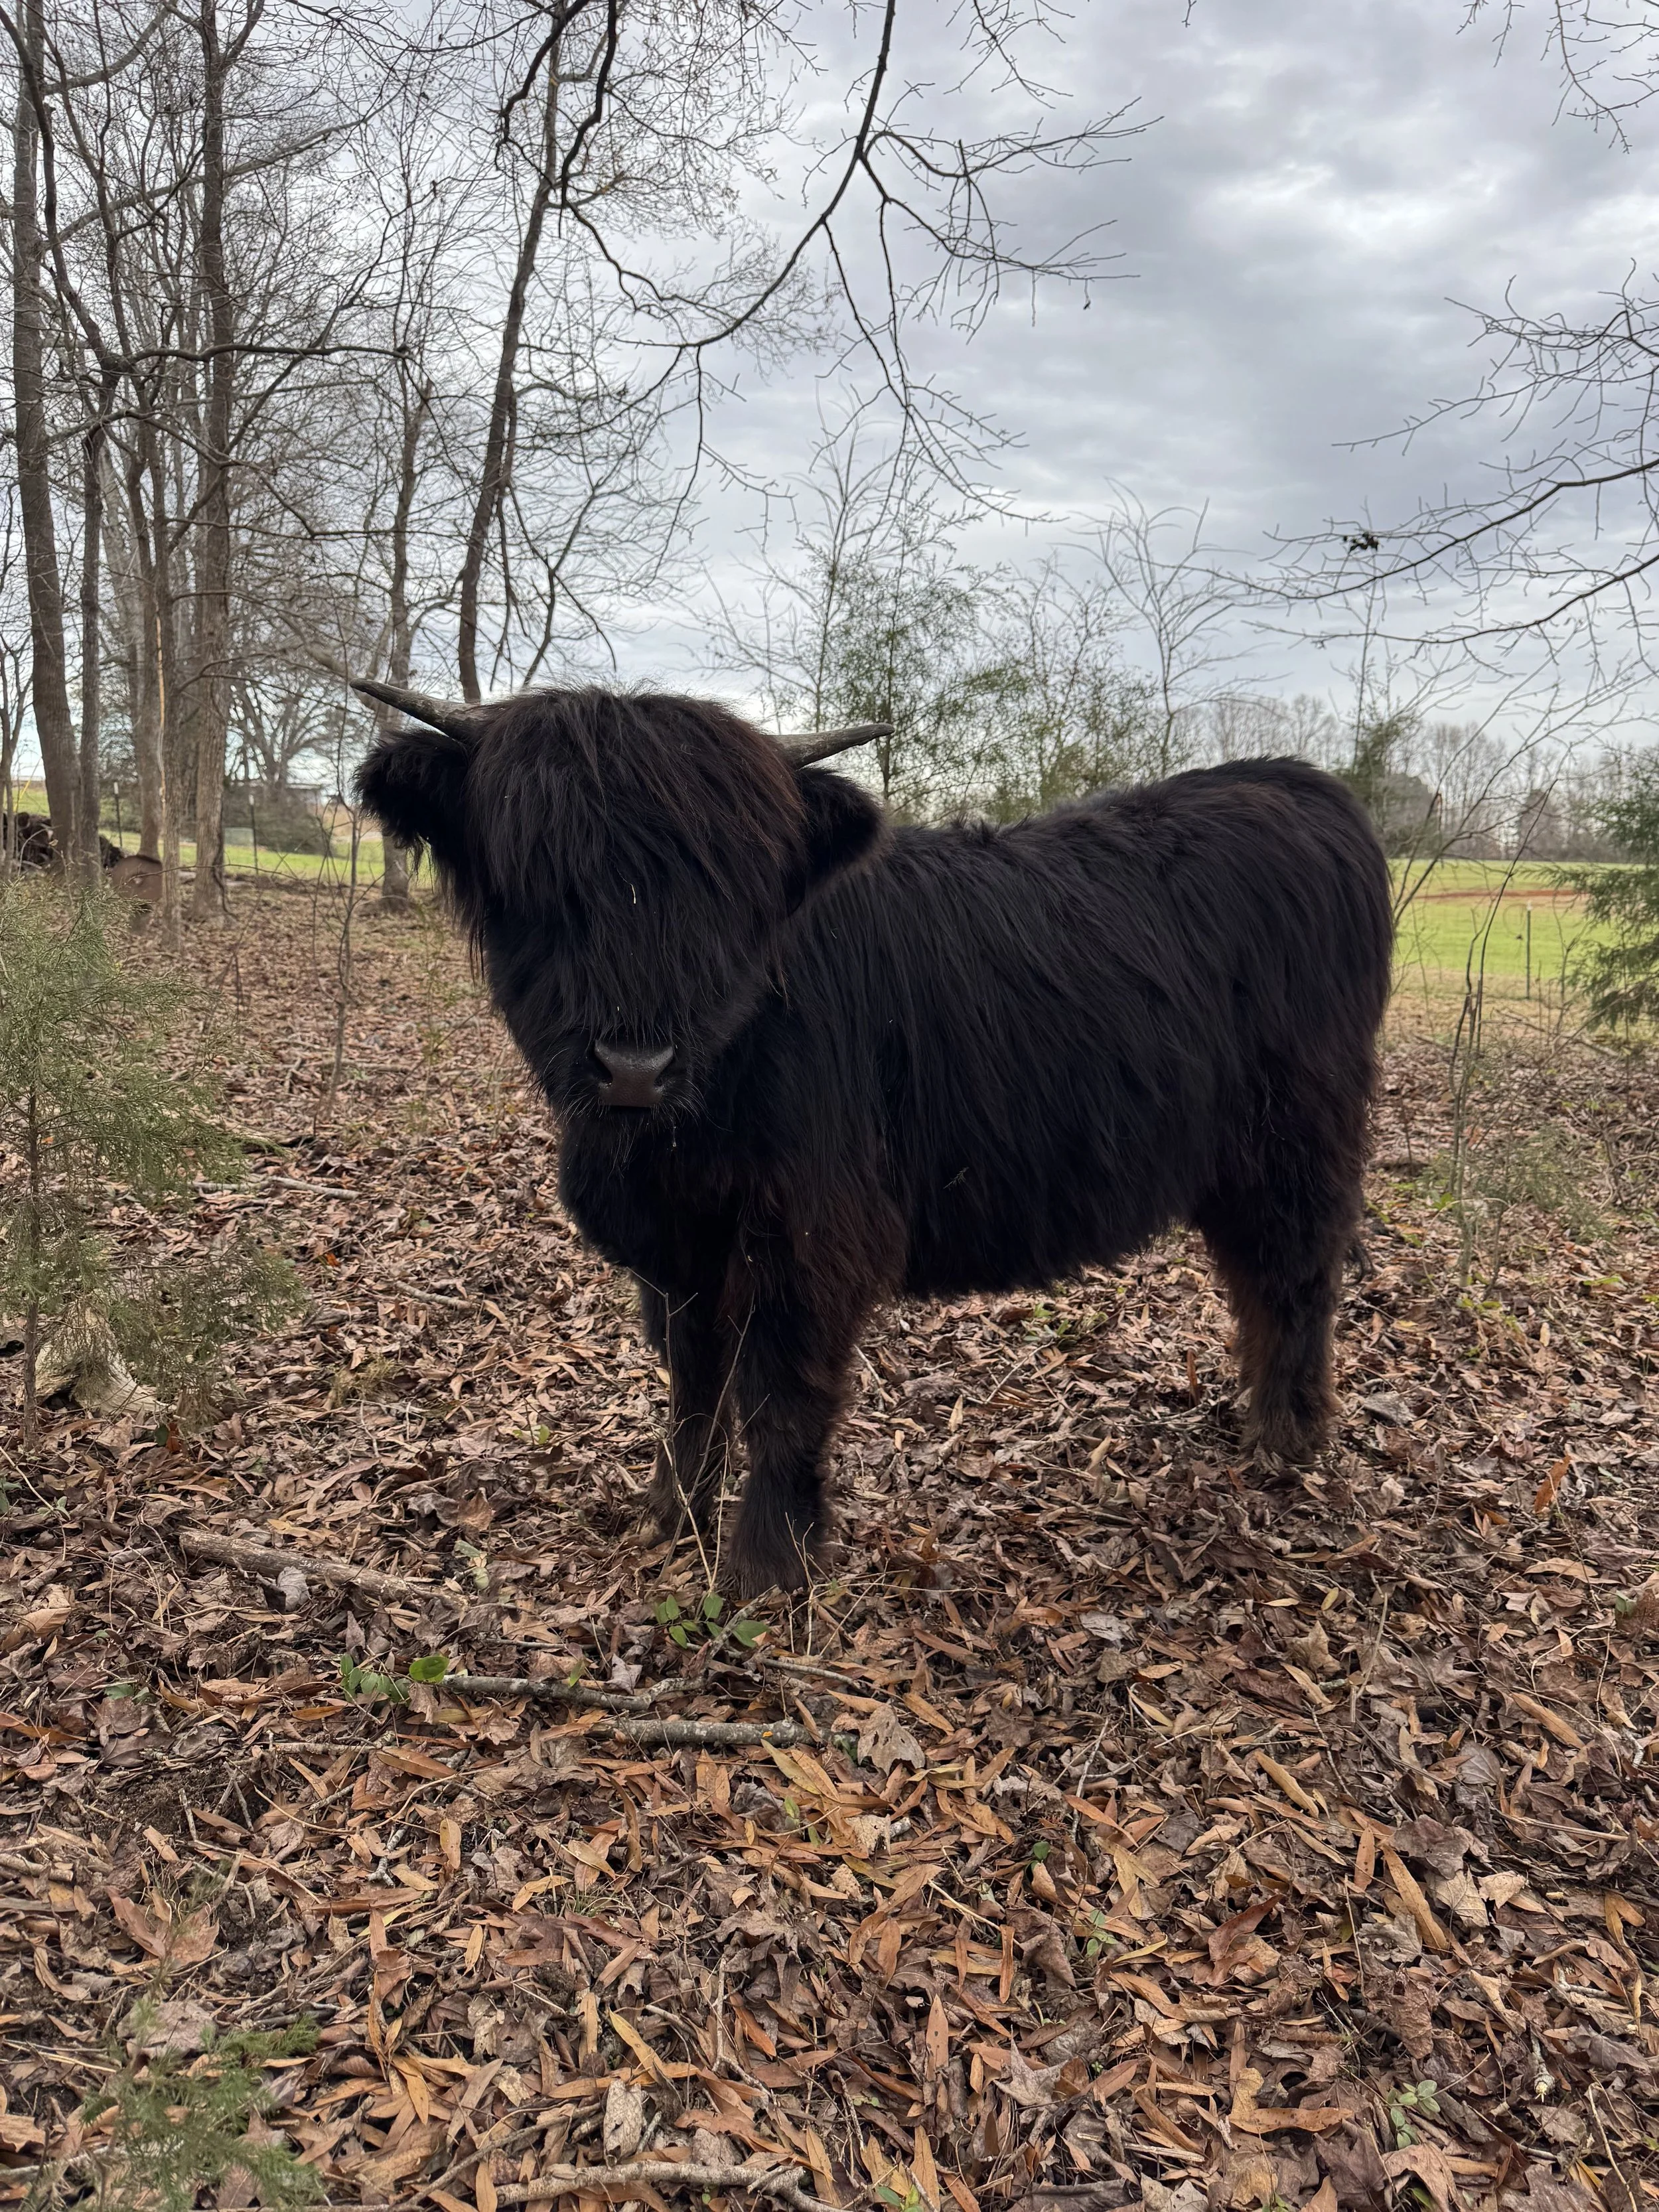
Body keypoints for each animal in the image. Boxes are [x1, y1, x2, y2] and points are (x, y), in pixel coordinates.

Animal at [354, 681, 1393, 1597]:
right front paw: (670, 1512)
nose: (634, 1065)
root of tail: (1296, 782)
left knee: (1296, 1274)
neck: (678, 1134)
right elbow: (692, 1379)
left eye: (726, 891)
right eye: (538, 875)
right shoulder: (679, 1246)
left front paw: (766, 1566)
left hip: (1297, 1143)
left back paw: (1287, 1438)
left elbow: (782, 1389)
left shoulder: (810, 1232)